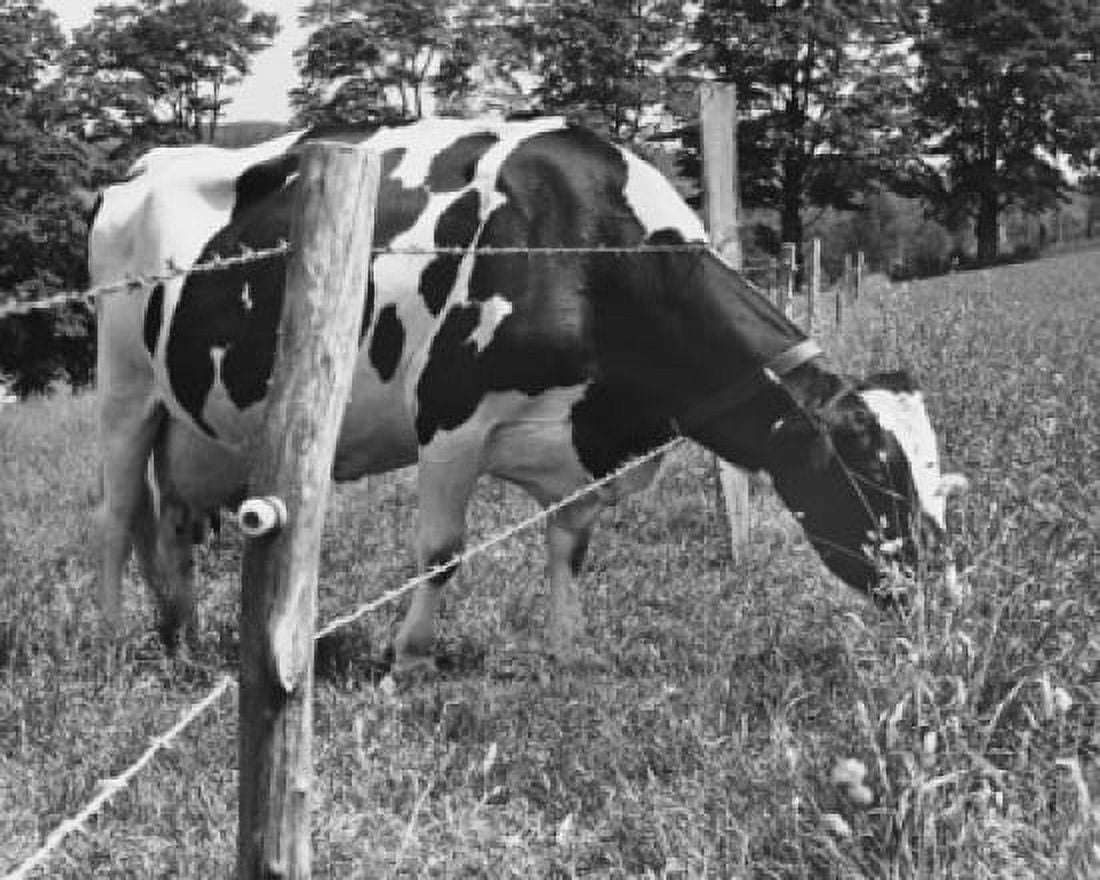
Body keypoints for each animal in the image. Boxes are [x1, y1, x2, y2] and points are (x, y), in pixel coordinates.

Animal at [89, 116, 966, 678]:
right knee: (117, 516)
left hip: (199, 430)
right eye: (875, 471)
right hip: (124, 387)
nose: (948, 602)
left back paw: (184, 639)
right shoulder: (449, 421)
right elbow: (441, 551)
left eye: (939, 482)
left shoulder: (587, 456)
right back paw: (108, 641)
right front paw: (407, 661)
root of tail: (140, 167)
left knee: (171, 527)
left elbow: (570, 551)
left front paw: (566, 653)